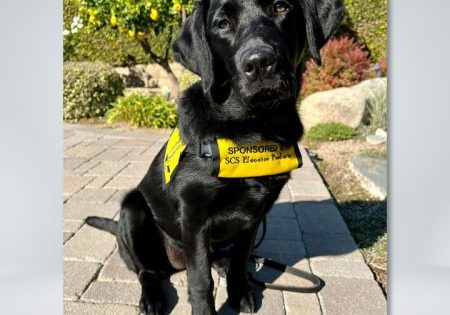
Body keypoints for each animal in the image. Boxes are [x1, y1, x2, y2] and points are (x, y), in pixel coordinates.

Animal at [86, 0, 342, 315]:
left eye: (281, 8)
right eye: (223, 24)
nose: (258, 63)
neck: (252, 129)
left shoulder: (255, 215)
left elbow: (241, 261)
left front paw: (239, 293)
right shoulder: (194, 216)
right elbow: (200, 280)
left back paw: (221, 262)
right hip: (133, 209)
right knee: (147, 271)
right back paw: (152, 297)